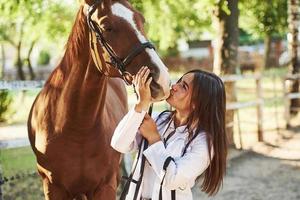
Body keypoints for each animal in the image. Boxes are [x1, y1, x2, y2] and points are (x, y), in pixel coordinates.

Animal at [28, 0, 171, 199]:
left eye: (141, 19)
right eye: (106, 27)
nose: (161, 80)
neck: (76, 129)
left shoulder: (105, 186)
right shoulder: (52, 188)